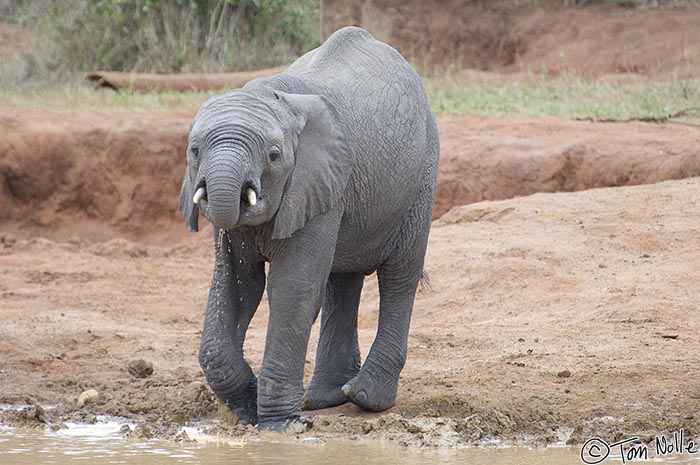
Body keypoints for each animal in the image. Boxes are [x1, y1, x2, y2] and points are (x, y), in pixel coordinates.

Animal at [179, 26, 438, 432]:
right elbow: (239, 287)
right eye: (194, 150)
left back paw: (365, 398)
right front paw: (246, 409)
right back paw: (323, 399)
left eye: (273, 155)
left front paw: (278, 426)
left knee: (399, 275)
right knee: (341, 282)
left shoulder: (317, 179)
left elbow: (292, 288)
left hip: (421, 175)